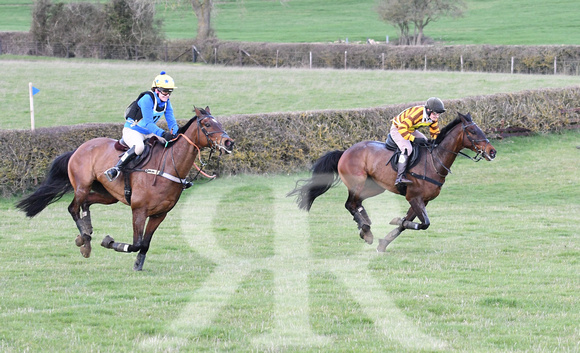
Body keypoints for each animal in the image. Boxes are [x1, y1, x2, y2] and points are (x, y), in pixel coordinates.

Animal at [16, 106, 233, 270]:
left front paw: (138, 265)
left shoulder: (159, 214)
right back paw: (83, 239)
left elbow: (145, 244)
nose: (229, 142)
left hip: (108, 194)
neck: (168, 166)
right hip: (82, 186)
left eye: (220, 123)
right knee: (73, 208)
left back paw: (87, 235)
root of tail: (79, 148)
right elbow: (136, 243)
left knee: (86, 204)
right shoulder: (139, 210)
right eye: (207, 124)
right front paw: (109, 242)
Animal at [288, 111, 496, 252]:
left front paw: (384, 242)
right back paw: (366, 229)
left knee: (357, 203)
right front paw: (394, 222)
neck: (434, 160)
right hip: (358, 182)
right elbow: (423, 223)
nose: (492, 152)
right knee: (350, 204)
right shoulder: (414, 197)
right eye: (472, 131)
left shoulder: (422, 200)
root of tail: (345, 151)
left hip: (374, 187)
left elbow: (407, 223)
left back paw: (365, 228)